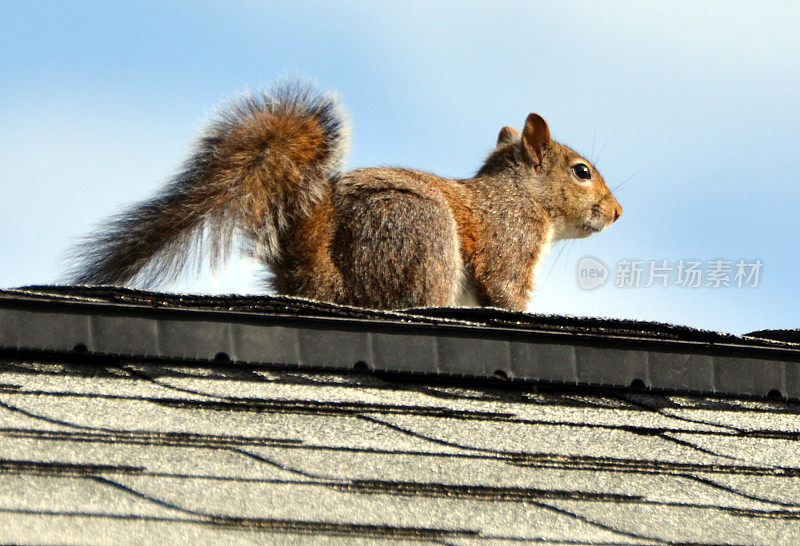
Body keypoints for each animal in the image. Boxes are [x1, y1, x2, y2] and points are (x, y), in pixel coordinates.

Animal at [67, 81, 620, 310]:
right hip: (422, 235)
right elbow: (504, 289)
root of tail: (325, 280)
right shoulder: (510, 237)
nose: (616, 212)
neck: (524, 195)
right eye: (582, 171)